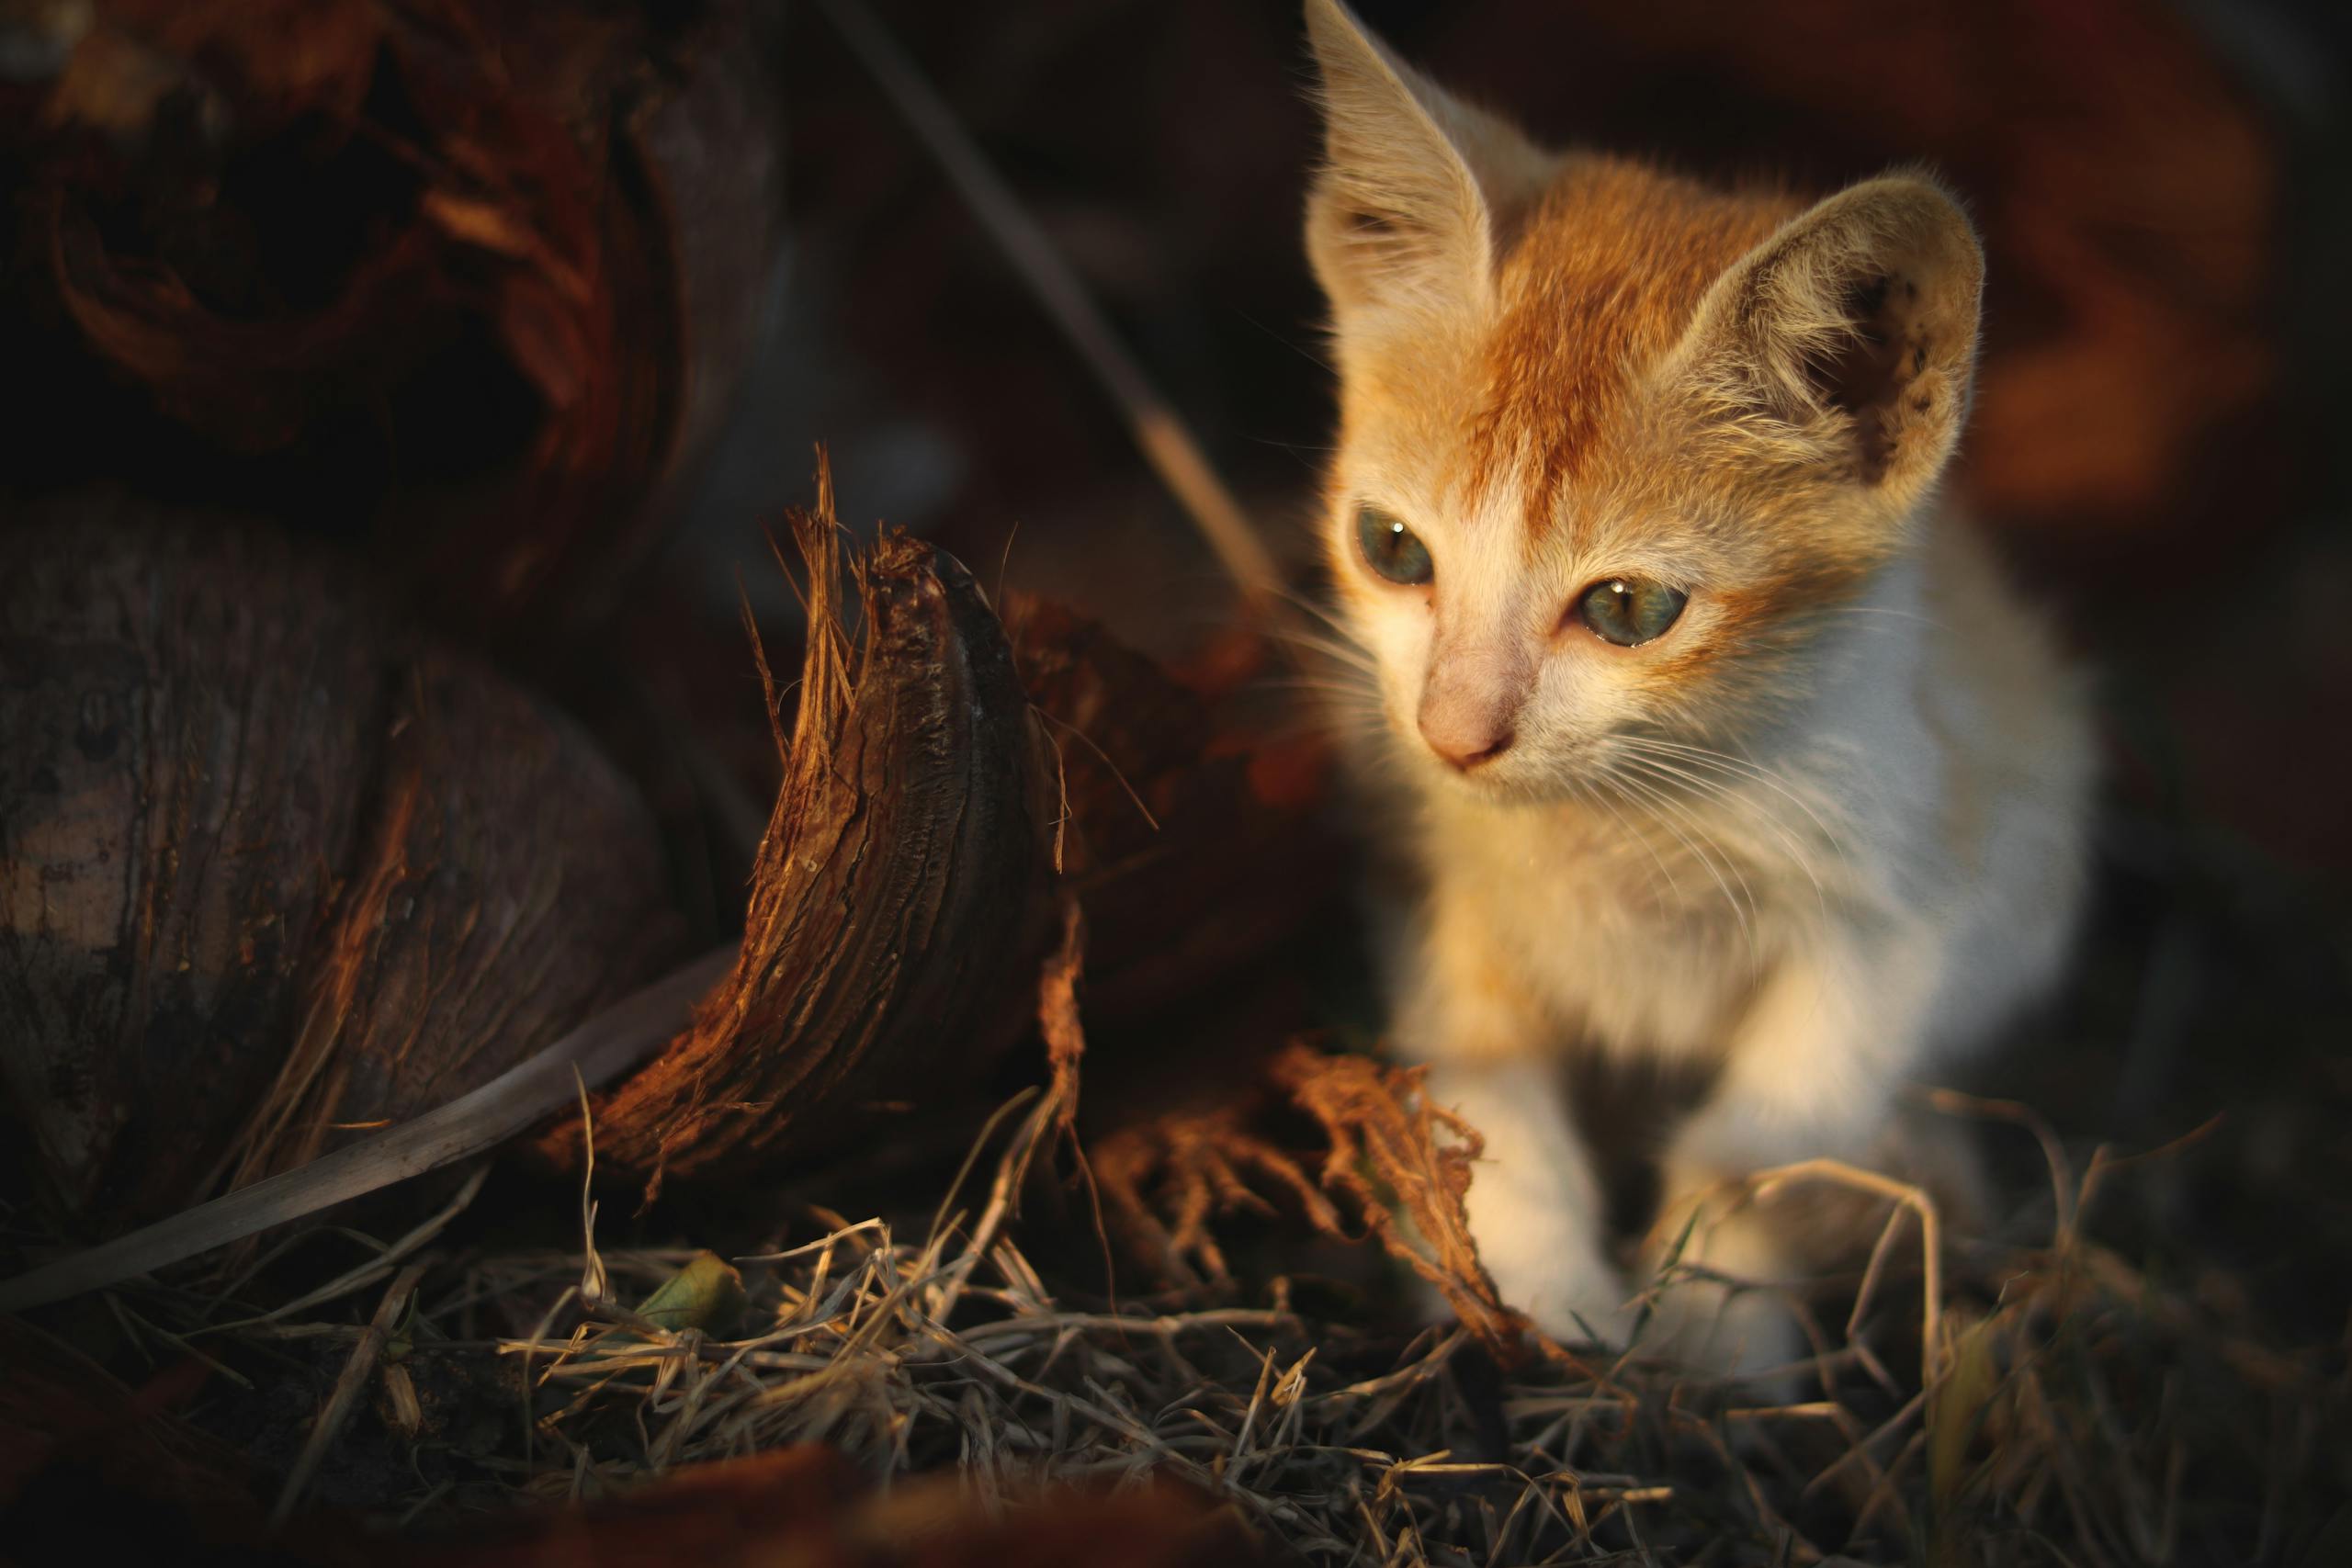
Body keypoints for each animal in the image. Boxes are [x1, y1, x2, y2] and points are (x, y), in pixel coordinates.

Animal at [1307, 0, 2098, 1372]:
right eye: (1392, 546)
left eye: (1628, 609)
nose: (1454, 731)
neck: (1623, 824)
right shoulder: (1429, 871)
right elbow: (1483, 1084)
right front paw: (1537, 1289)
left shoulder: (1914, 885)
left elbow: (1767, 1132)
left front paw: (1711, 1334)